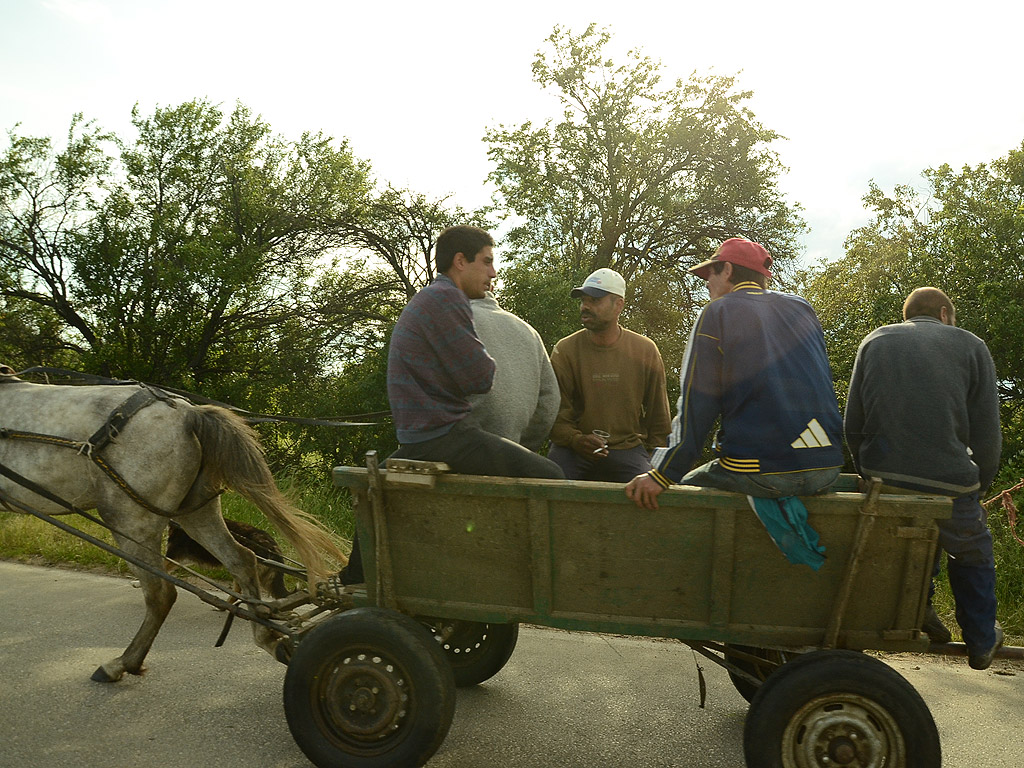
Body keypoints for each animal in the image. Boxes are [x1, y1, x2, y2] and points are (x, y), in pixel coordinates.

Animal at [0, 370, 348, 684]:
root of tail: (189, 413)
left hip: (131, 519)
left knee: (161, 593)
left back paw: (122, 663)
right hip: (196, 512)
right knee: (241, 561)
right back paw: (266, 635)